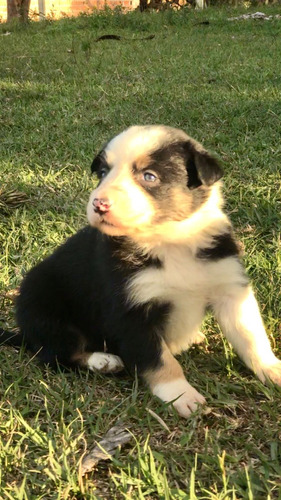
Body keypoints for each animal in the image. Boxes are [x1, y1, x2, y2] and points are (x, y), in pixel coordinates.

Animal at [1, 126, 278, 418]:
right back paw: (102, 360)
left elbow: (251, 335)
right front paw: (181, 394)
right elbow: (159, 359)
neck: (169, 240)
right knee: (58, 354)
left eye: (149, 176)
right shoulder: (131, 308)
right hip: (44, 307)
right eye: (103, 173)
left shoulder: (230, 287)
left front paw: (272, 369)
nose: (99, 204)